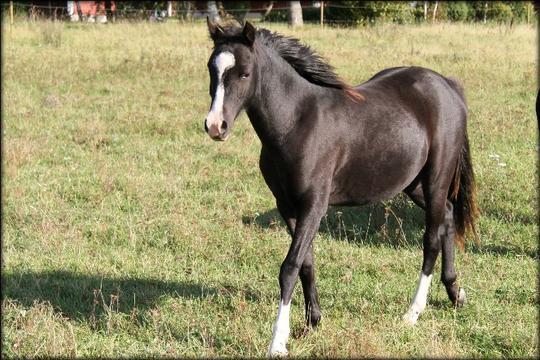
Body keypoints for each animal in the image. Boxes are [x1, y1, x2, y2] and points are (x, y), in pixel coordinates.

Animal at [204, 19, 480, 358]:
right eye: (211, 69)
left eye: (244, 73)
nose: (215, 126)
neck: (297, 123)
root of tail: (447, 85)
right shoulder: (287, 206)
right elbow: (306, 264)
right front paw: (311, 324)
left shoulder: (314, 205)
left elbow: (289, 267)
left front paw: (278, 342)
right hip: (413, 184)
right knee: (450, 217)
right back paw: (455, 293)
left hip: (436, 179)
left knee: (432, 237)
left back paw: (413, 312)